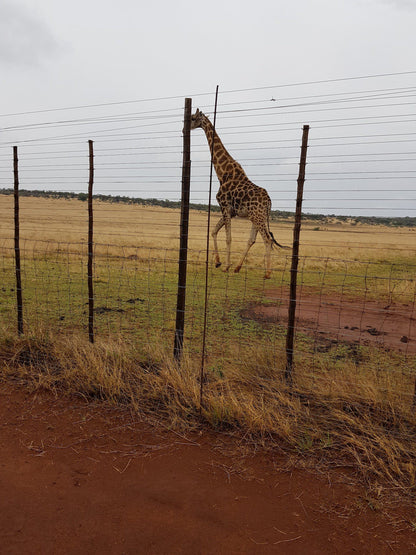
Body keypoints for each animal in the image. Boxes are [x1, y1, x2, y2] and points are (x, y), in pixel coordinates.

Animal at [191, 109, 286, 280]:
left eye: (193, 118)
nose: (184, 129)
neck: (222, 173)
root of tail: (269, 202)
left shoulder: (224, 206)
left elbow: (228, 237)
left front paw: (225, 266)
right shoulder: (231, 211)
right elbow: (214, 231)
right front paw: (218, 262)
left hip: (257, 216)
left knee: (267, 239)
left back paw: (267, 273)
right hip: (257, 216)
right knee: (252, 240)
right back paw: (238, 267)